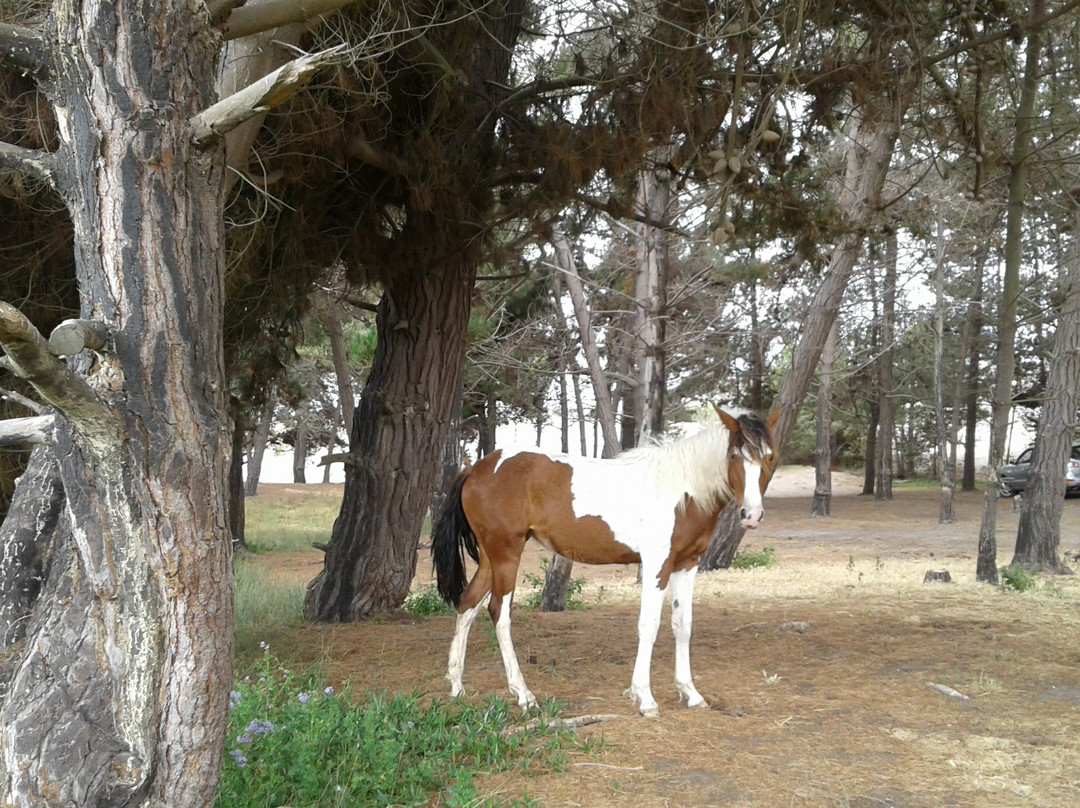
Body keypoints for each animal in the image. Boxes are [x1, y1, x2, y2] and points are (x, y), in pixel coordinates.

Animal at [429, 406, 777, 717]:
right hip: (507, 555)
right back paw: (524, 695)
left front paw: (690, 693)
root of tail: (477, 468)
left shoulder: (687, 564)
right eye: (734, 456)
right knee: (499, 613)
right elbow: (649, 625)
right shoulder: (657, 564)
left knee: (468, 604)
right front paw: (645, 698)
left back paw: (457, 686)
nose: (751, 515)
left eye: (770, 457)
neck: (681, 489)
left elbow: (683, 625)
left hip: (491, 558)